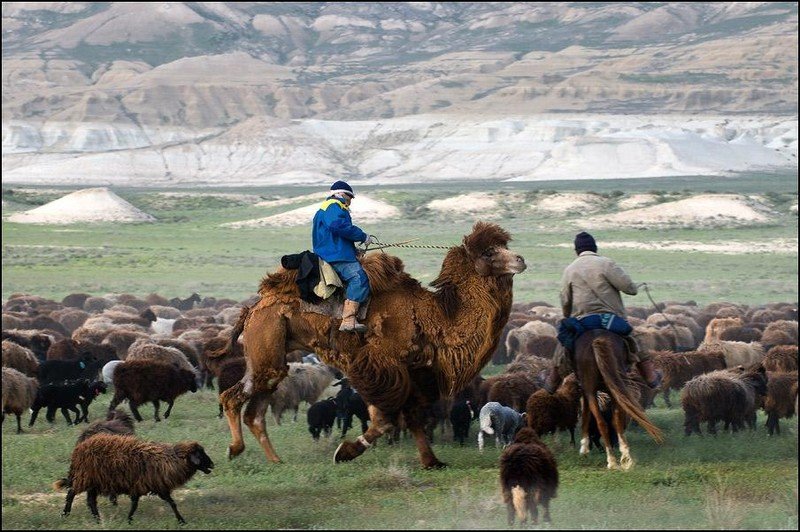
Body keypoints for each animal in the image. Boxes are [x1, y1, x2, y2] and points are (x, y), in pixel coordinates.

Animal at [54, 434, 214, 524]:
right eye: (200, 454)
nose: (212, 465)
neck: (169, 460)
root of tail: (79, 449)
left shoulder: (154, 486)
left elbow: (171, 503)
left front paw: (181, 520)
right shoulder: (144, 485)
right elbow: (136, 504)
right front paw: (129, 520)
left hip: (95, 481)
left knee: (90, 501)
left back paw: (97, 519)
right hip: (85, 477)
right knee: (71, 493)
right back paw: (65, 514)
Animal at [222, 222, 528, 468]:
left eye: (504, 246)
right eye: (488, 252)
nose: (521, 259)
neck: (434, 317)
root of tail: (253, 307)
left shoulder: (413, 372)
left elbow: (412, 417)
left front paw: (432, 461)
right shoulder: (380, 367)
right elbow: (385, 419)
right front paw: (345, 451)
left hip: (268, 354)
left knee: (254, 411)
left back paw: (274, 459)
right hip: (268, 341)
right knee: (234, 397)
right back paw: (235, 449)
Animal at [576, 330, 664, 472]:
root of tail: (597, 341)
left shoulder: (587, 389)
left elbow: (587, 413)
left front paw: (584, 447)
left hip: (596, 387)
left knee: (603, 423)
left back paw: (612, 459)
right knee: (613, 421)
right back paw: (621, 456)